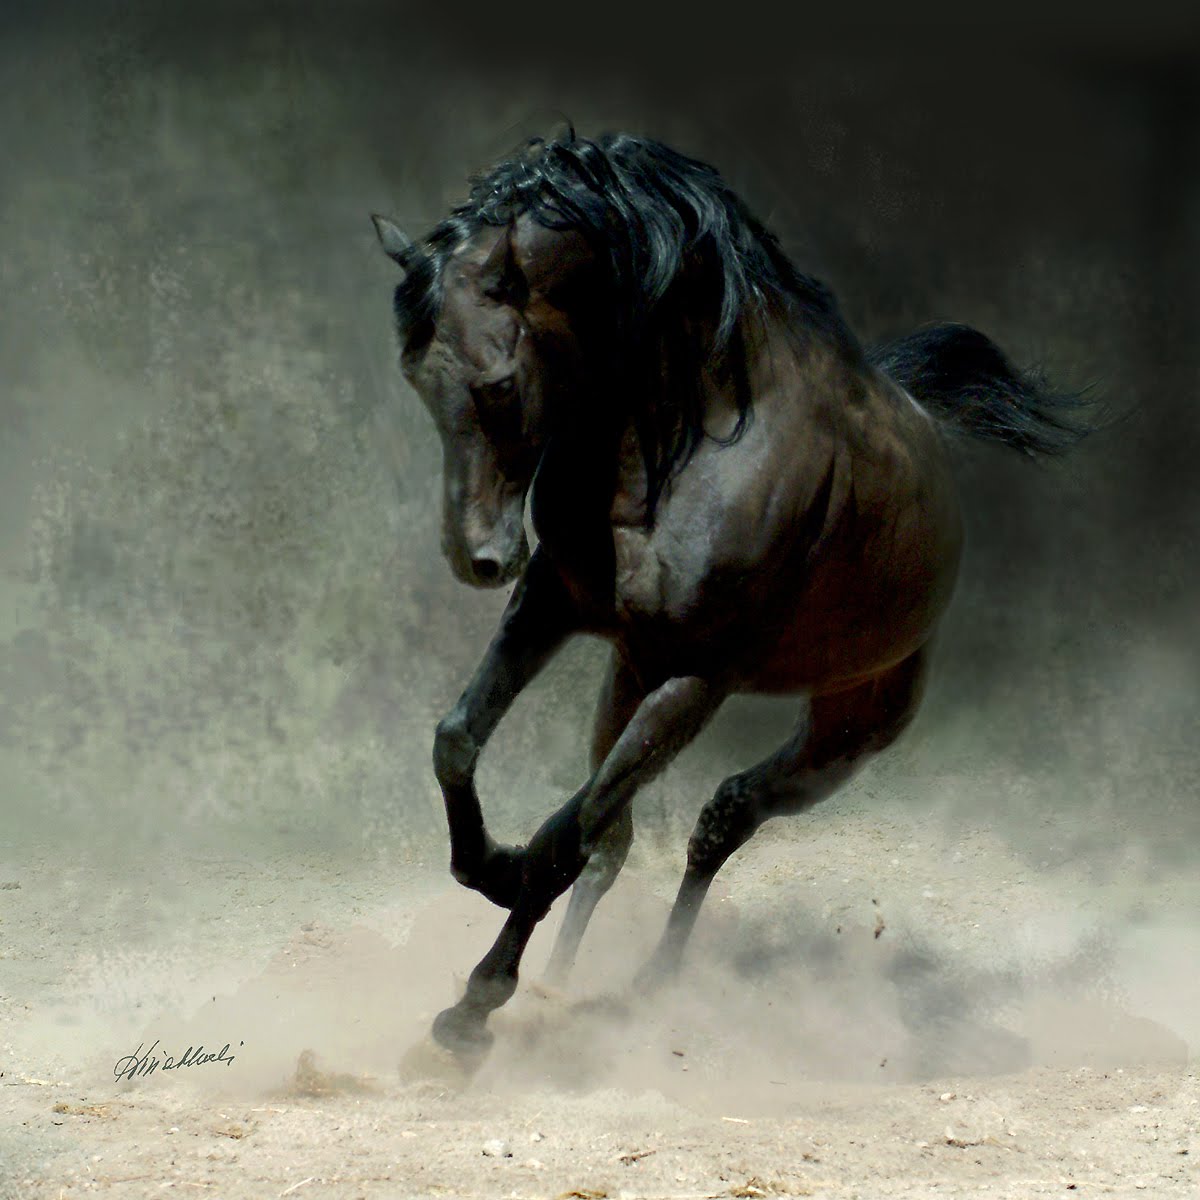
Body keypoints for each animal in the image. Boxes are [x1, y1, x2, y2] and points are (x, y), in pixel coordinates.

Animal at [371, 130, 1087, 1068]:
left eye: (498, 384)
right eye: (415, 375)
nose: (477, 558)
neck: (684, 441)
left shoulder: (698, 679)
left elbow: (567, 835)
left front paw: (471, 1010)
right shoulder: (554, 599)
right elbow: (459, 741)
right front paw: (488, 865)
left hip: (844, 733)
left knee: (719, 819)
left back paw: (654, 988)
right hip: (629, 675)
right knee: (623, 839)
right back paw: (569, 981)